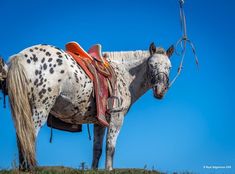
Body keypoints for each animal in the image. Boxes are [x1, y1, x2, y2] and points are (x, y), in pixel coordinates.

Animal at [0, 42, 173, 171]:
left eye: (169, 67)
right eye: (152, 65)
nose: (160, 90)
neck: (124, 75)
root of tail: (20, 56)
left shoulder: (100, 122)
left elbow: (97, 149)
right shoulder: (117, 118)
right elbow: (110, 147)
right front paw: (109, 169)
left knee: (21, 136)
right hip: (39, 110)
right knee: (29, 137)